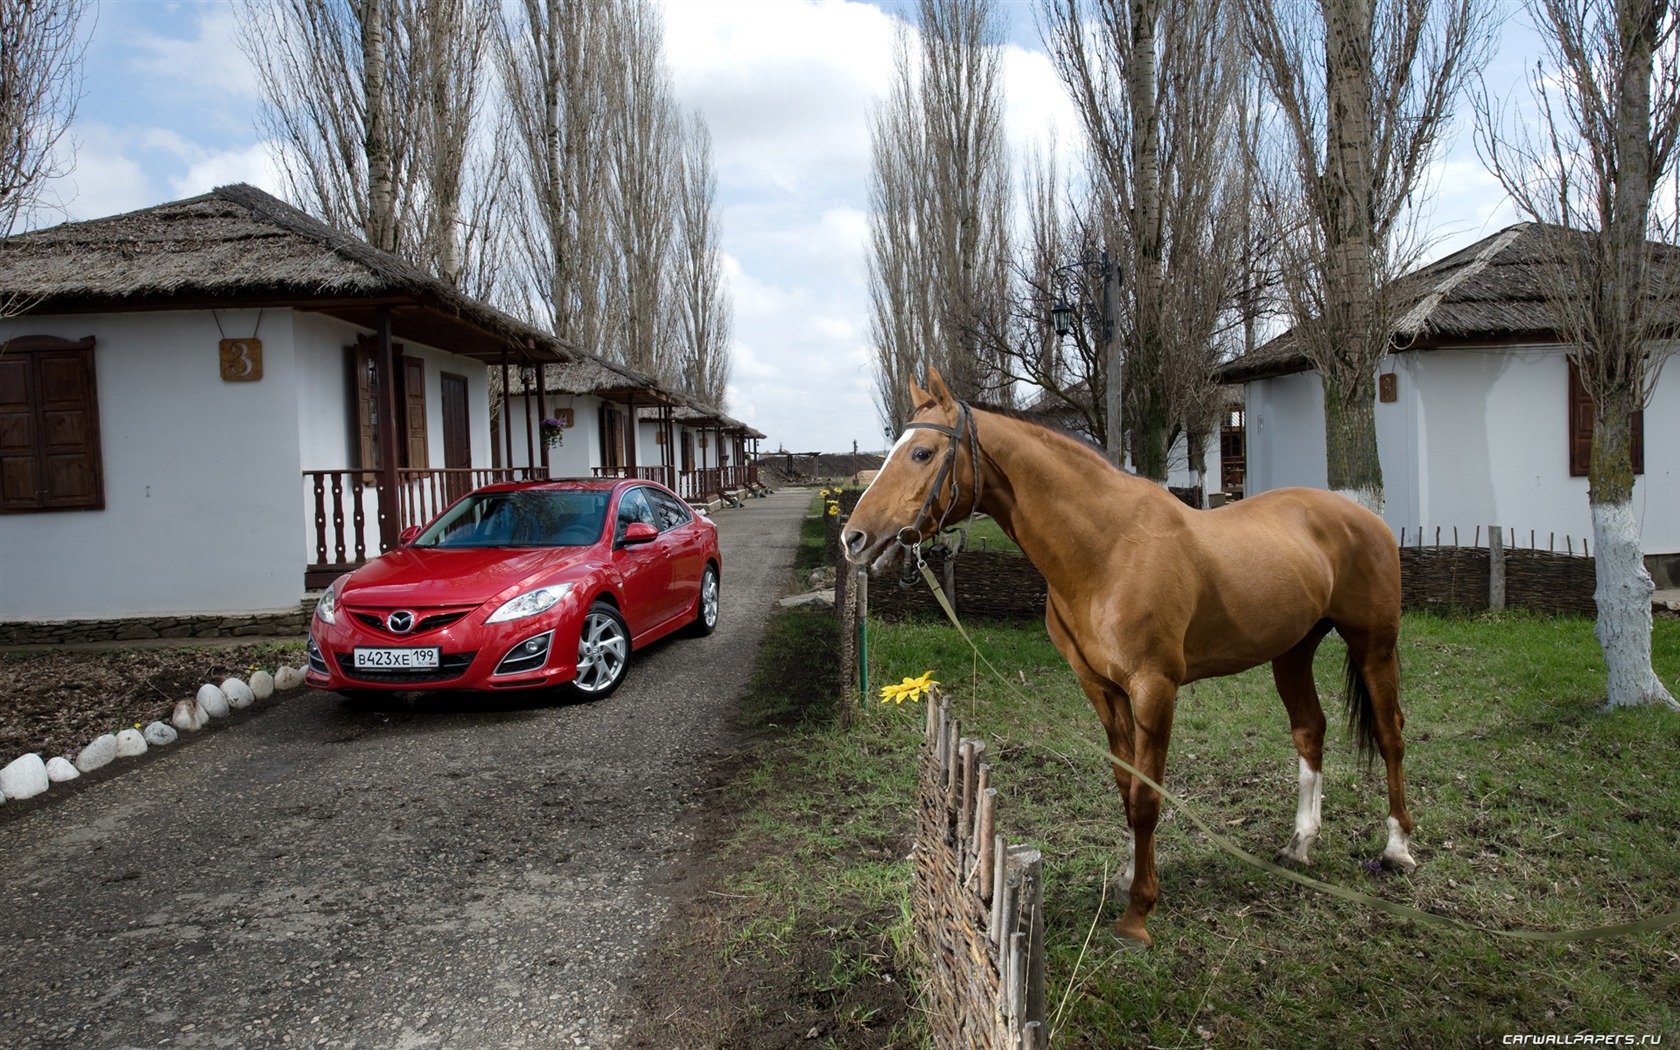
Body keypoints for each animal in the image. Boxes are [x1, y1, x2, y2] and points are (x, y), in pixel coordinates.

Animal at [840, 372, 1417, 947]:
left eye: (921, 452)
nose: (854, 538)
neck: (1110, 549)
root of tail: (1362, 516)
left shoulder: (1154, 687)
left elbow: (1146, 797)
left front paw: (1138, 911)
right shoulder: (1102, 688)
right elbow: (1125, 783)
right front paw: (1126, 876)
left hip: (1373, 644)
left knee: (1390, 734)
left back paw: (1396, 849)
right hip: (1292, 651)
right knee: (1309, 731)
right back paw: (1300, 843)